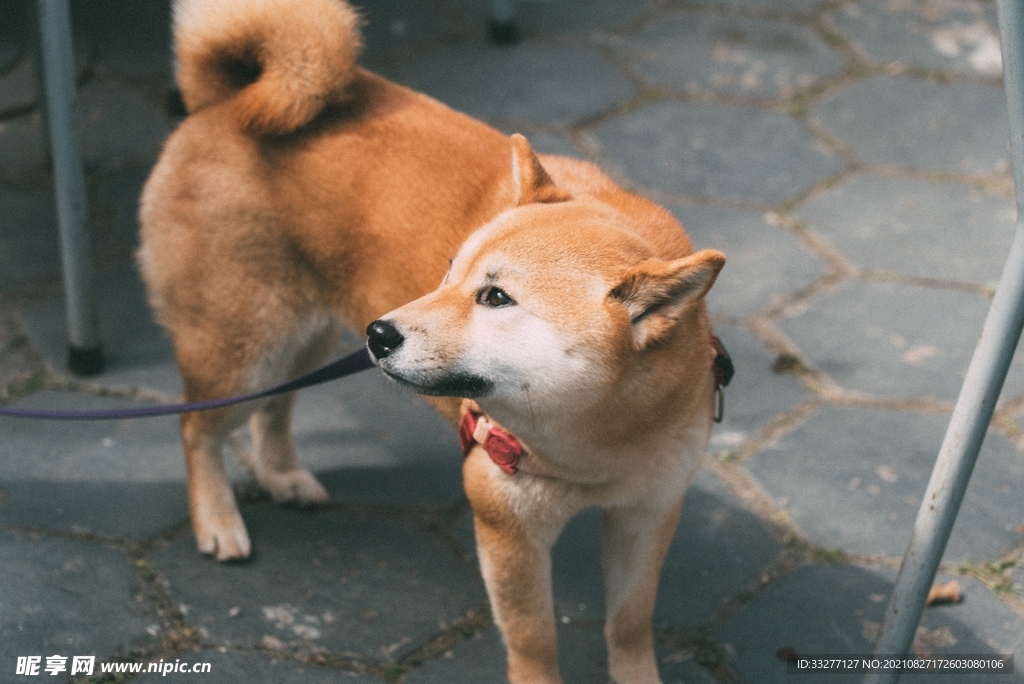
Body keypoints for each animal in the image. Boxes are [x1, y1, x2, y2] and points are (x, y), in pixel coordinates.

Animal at [138, 0, 729, 679]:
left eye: (494, 297)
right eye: (449, 273)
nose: (379, 332)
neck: (598, 445)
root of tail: (225, 102)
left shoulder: (648, 514)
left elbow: (630, 624)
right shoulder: (505, 521)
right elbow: (534, 638)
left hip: (306, 336)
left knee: (275, 408)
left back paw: (281, 474)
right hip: (244, 347)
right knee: (197, 428)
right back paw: (217, 520)